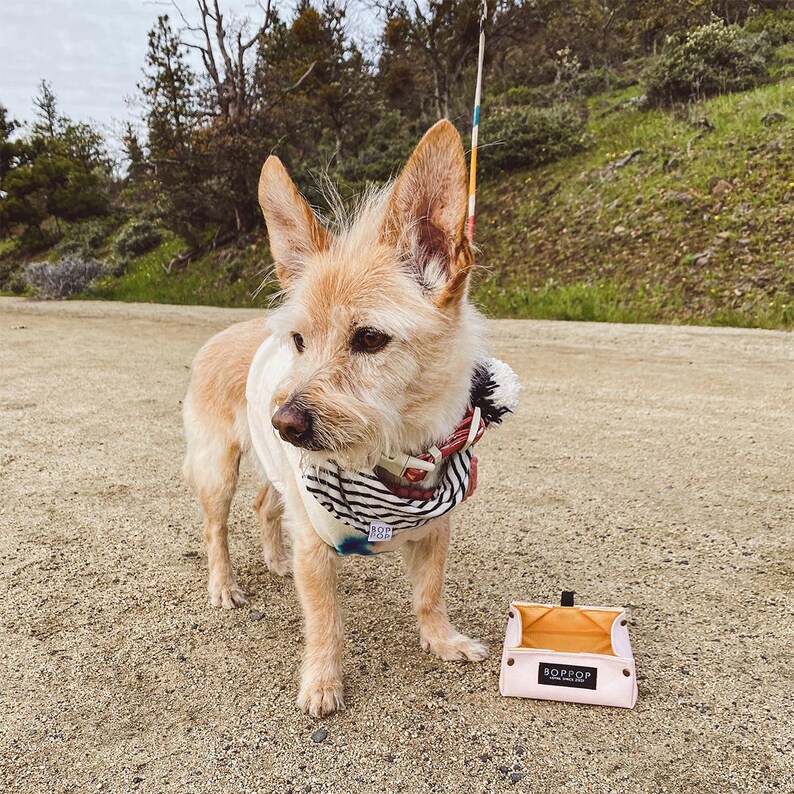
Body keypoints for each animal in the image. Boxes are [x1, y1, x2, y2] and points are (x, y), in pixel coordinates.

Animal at [183, 119, 488, 716]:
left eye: (369, 339)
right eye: (298, 341)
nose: (284, 423)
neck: (393, 458)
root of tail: (221, 334)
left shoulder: (437, 532)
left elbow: (430, 594)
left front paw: (443, 640)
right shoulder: (315, 545)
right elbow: (325, 621)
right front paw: (322, 682)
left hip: (276, 470)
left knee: (263, 503)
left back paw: (275, 561)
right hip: (218, 468)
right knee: (215, 528)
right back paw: (224, 587)